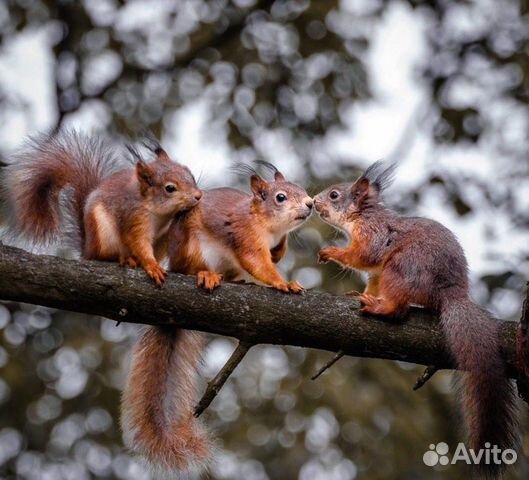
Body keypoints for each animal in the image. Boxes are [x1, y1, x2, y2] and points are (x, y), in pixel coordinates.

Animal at [2, 130, 200, 284]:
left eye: (190, 175)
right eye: (170, 188)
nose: (198, 196)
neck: (160, 214)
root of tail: (87, 248)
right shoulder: (133, 217)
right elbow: (138, 242)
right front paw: (152, 266)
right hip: (102, 234)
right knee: (102, 257)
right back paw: (124, 258)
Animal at [122, 164, 314, 476]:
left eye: (302, 190)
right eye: (281, 197)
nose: (310, 204)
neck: (268, 226)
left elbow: (275, 256)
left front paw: (281, 256)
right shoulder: (244, 236)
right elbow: (258, 263)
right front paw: (282, 283)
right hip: (193, 249)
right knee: (192, 270)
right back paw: (207, 275)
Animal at [314, 160, 516, 476]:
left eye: (334, 195)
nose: (313, 202)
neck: (361, 216)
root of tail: (452, 293)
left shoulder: (373, 235)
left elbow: (363, 256)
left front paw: (331, 251)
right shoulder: (376, 273)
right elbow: (371, 279)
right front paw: (357, 292)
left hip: (402, 267)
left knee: (399, 308)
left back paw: (381, 308)